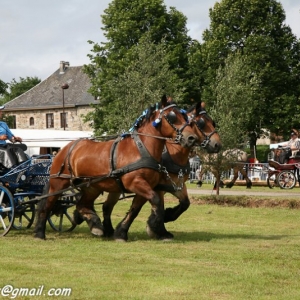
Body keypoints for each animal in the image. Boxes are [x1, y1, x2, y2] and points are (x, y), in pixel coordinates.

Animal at [34, 95, 198, 239]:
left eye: (185, 116)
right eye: (172, 116)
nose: (192, 138)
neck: (142, 149)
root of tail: (64, 149)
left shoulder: (148, 186)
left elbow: (136, 209)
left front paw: (121, 232)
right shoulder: (136, 183)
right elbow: (156, 202)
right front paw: (157, 225)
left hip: (91, 186)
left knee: (82, 204)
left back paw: (96, 225)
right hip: (58, 183)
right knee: (47, 205)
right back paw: (39, 233)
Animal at [102, 102, 221, 240]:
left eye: (212, 122)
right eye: (201, 123)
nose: (217, 145)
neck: (173, 154)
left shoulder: (176, 184)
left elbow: (185, 203)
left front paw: (165, 218)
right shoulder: (158, 186)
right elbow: (159, 205)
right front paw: (157, 228)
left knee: (107, 206)